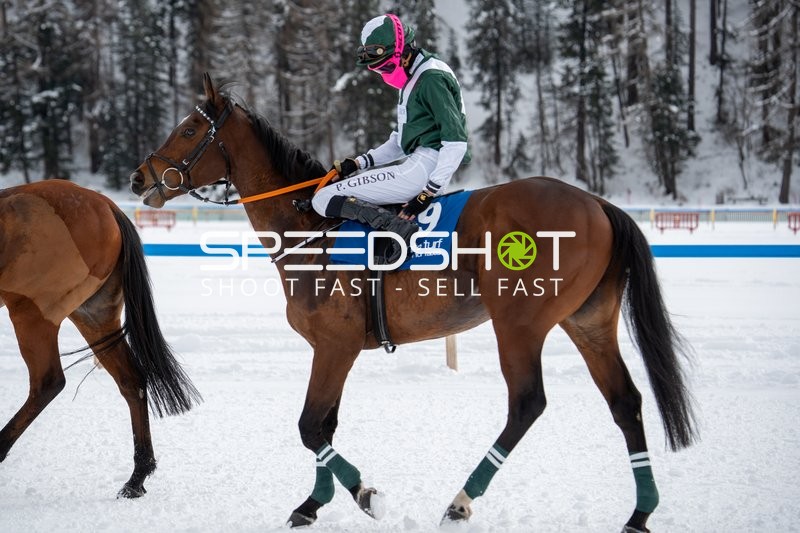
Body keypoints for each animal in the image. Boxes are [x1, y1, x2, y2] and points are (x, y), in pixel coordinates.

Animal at [0, 180, 201, 497]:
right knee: (132, 380)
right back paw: (137, 477)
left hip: (32, 312)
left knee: (47, 383)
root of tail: (106, 204)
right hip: (93, 315)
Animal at [130, 73, 696, 532]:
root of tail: (596, 203)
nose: (139, 177)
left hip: (520, 323)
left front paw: (363, 493)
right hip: (588, 323)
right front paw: (312, 503)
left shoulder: (334, 346)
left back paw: (462, 501)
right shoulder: (333, 349)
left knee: (527, 403)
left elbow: (310, 425)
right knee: (625, 402)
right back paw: (640, 513)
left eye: (188, 129)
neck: (312, 228)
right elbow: (324, 425)